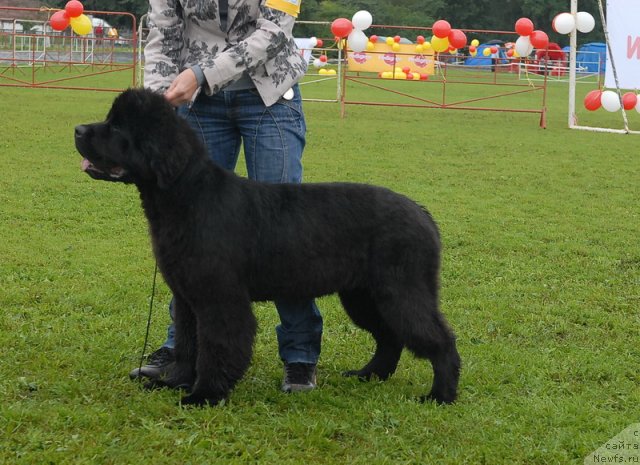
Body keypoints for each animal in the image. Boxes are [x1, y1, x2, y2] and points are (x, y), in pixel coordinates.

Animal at [75, 89, 460, 404]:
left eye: (117, 128)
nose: (78, 130)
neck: (188, 196)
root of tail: (422, 213)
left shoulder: (220, 298)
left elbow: (215, 345)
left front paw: (205, 395)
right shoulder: (187, 298)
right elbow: (187, 343)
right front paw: (175, 383)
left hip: (401, 291)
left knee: (438, 339)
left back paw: (440, 395)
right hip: (363, 296)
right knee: (390, 337)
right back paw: (368, 376)